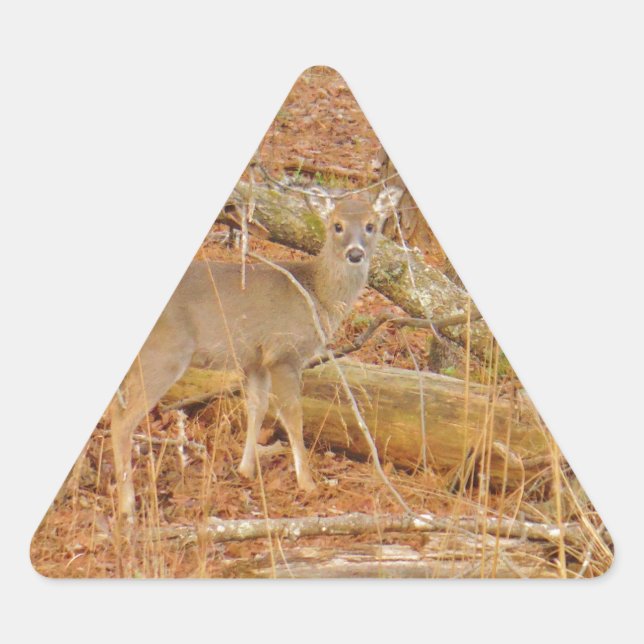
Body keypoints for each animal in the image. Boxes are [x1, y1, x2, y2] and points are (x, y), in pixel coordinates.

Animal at [107, 185, 403, 524]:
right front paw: (307, 482)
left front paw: (246, 469)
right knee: (123, 420)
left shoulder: (255, 360)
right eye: (337, 225)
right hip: (165, 354)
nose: (355, 253)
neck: (317, 297)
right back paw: (128, 507)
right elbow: (292, 415)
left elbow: (257, 407)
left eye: (371, 225)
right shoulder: (283, 353)